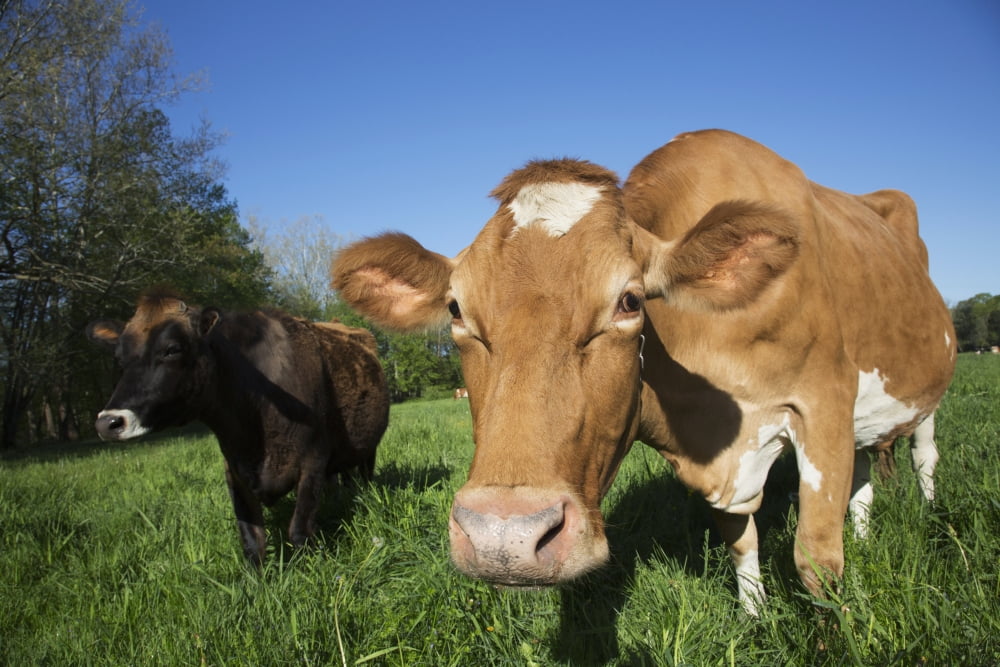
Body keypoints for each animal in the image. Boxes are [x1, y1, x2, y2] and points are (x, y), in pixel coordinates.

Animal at [87, 291, 390, 565]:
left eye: (172, 349)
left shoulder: (313, 460)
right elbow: (252, 540)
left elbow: (299, 531)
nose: (108, 422)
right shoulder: (234, 468)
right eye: (119, 358)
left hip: (368, 447)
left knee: (363, 472)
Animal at [331, 129, 956, 614]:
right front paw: (754, 618)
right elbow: (741, 541)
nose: (502, 536)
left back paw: (931, 512)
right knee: (866, 475)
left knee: (924, 454)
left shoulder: (824, 400)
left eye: (630, 301)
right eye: (457, 310)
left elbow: (817, 562)